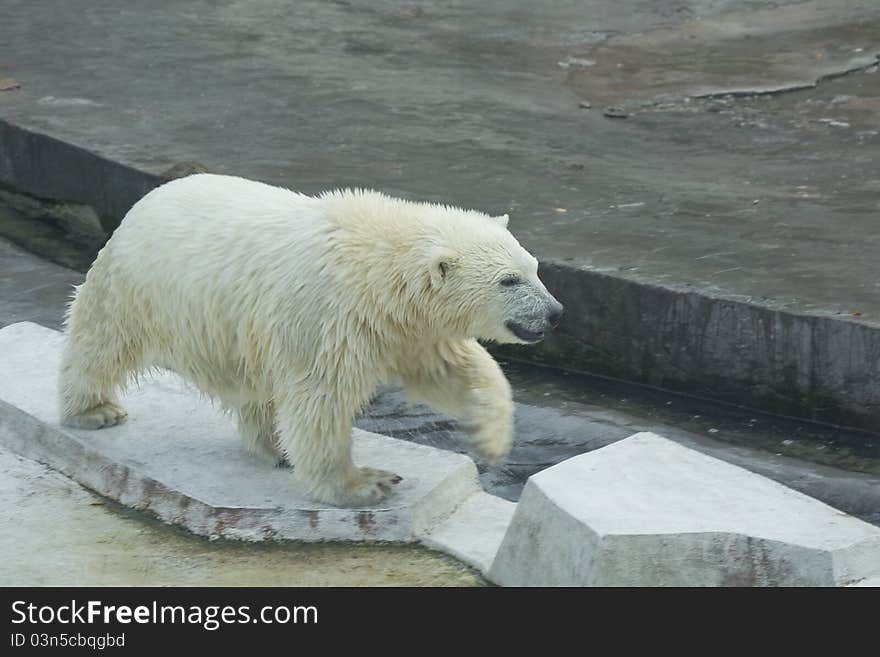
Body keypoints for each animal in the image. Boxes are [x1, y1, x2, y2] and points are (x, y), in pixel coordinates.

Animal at [58, 173, 564, 502]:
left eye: (535, 268)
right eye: (509, 281)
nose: (555, 313)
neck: (378, 267)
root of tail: (145, 199)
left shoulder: (405, 328)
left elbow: (450, 369)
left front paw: (490, 437)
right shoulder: (328, 315)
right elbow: (321, 397)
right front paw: (364, 483)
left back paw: (275, 446)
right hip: (137, 286)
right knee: (100, 342)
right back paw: (93, 410)